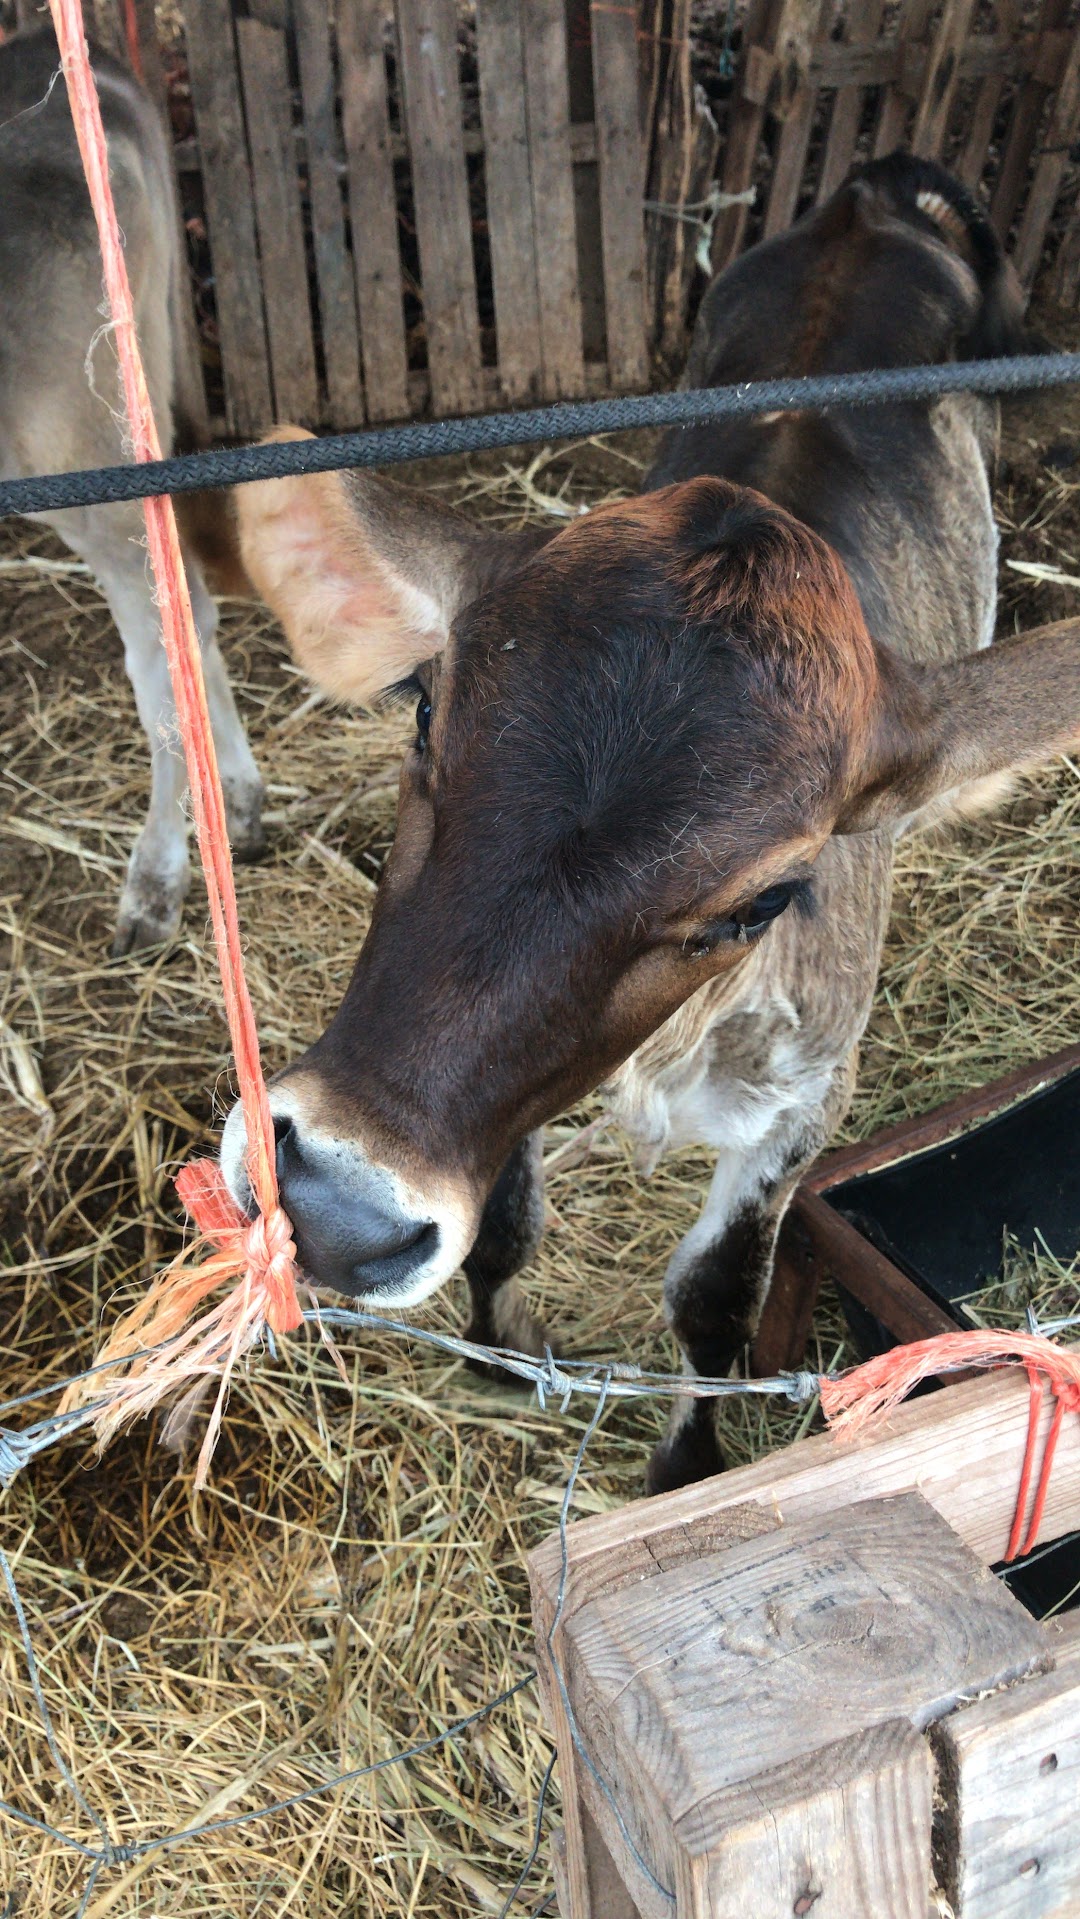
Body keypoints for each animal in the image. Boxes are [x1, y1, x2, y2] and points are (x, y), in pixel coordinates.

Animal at [224, 153, 1074, 1496]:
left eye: (766, 896)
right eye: (426, 710)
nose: (336, 1207)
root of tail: (872, 199)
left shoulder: (807, 1101)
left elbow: (715, 1294)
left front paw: (688, 1461)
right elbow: (501, 1229)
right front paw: (497, 1360)